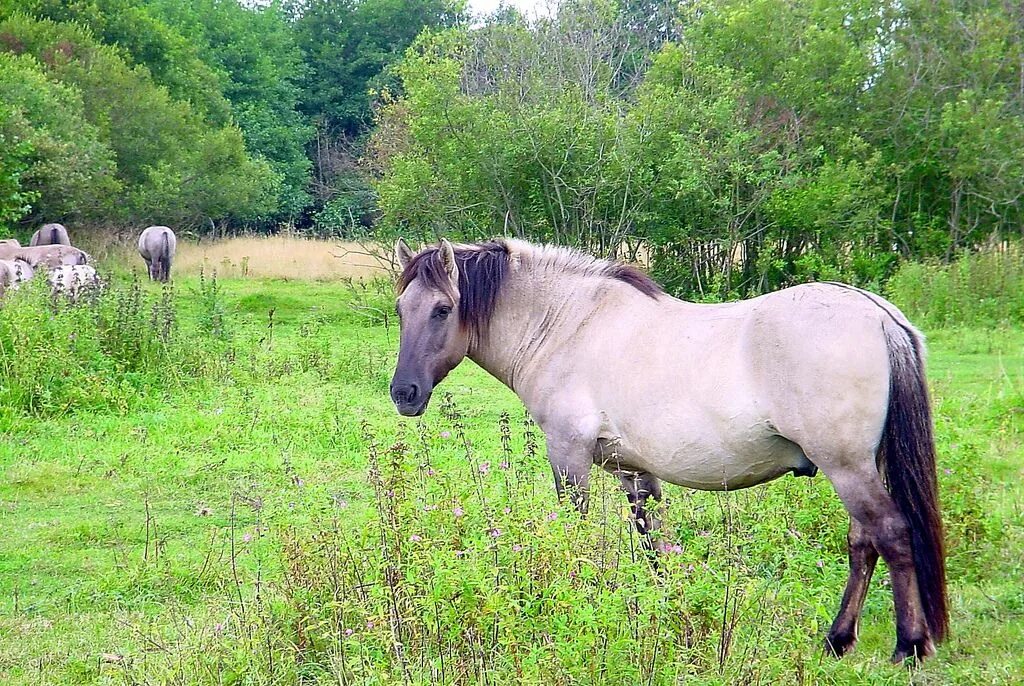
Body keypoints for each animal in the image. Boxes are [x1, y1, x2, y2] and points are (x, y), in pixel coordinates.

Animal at [387, 239, 946, 663]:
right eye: (400, 310)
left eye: (442, 309)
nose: (404, 393)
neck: (568, 326)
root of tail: (879, 316)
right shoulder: (633, 470)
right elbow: (653, 543)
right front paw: (666, 608)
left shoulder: (569, 456)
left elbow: (576, 534)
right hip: (860, 467)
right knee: (862, 543)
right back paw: (837, 640)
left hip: (847, 467)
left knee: (891, 534)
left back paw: (909, 646)